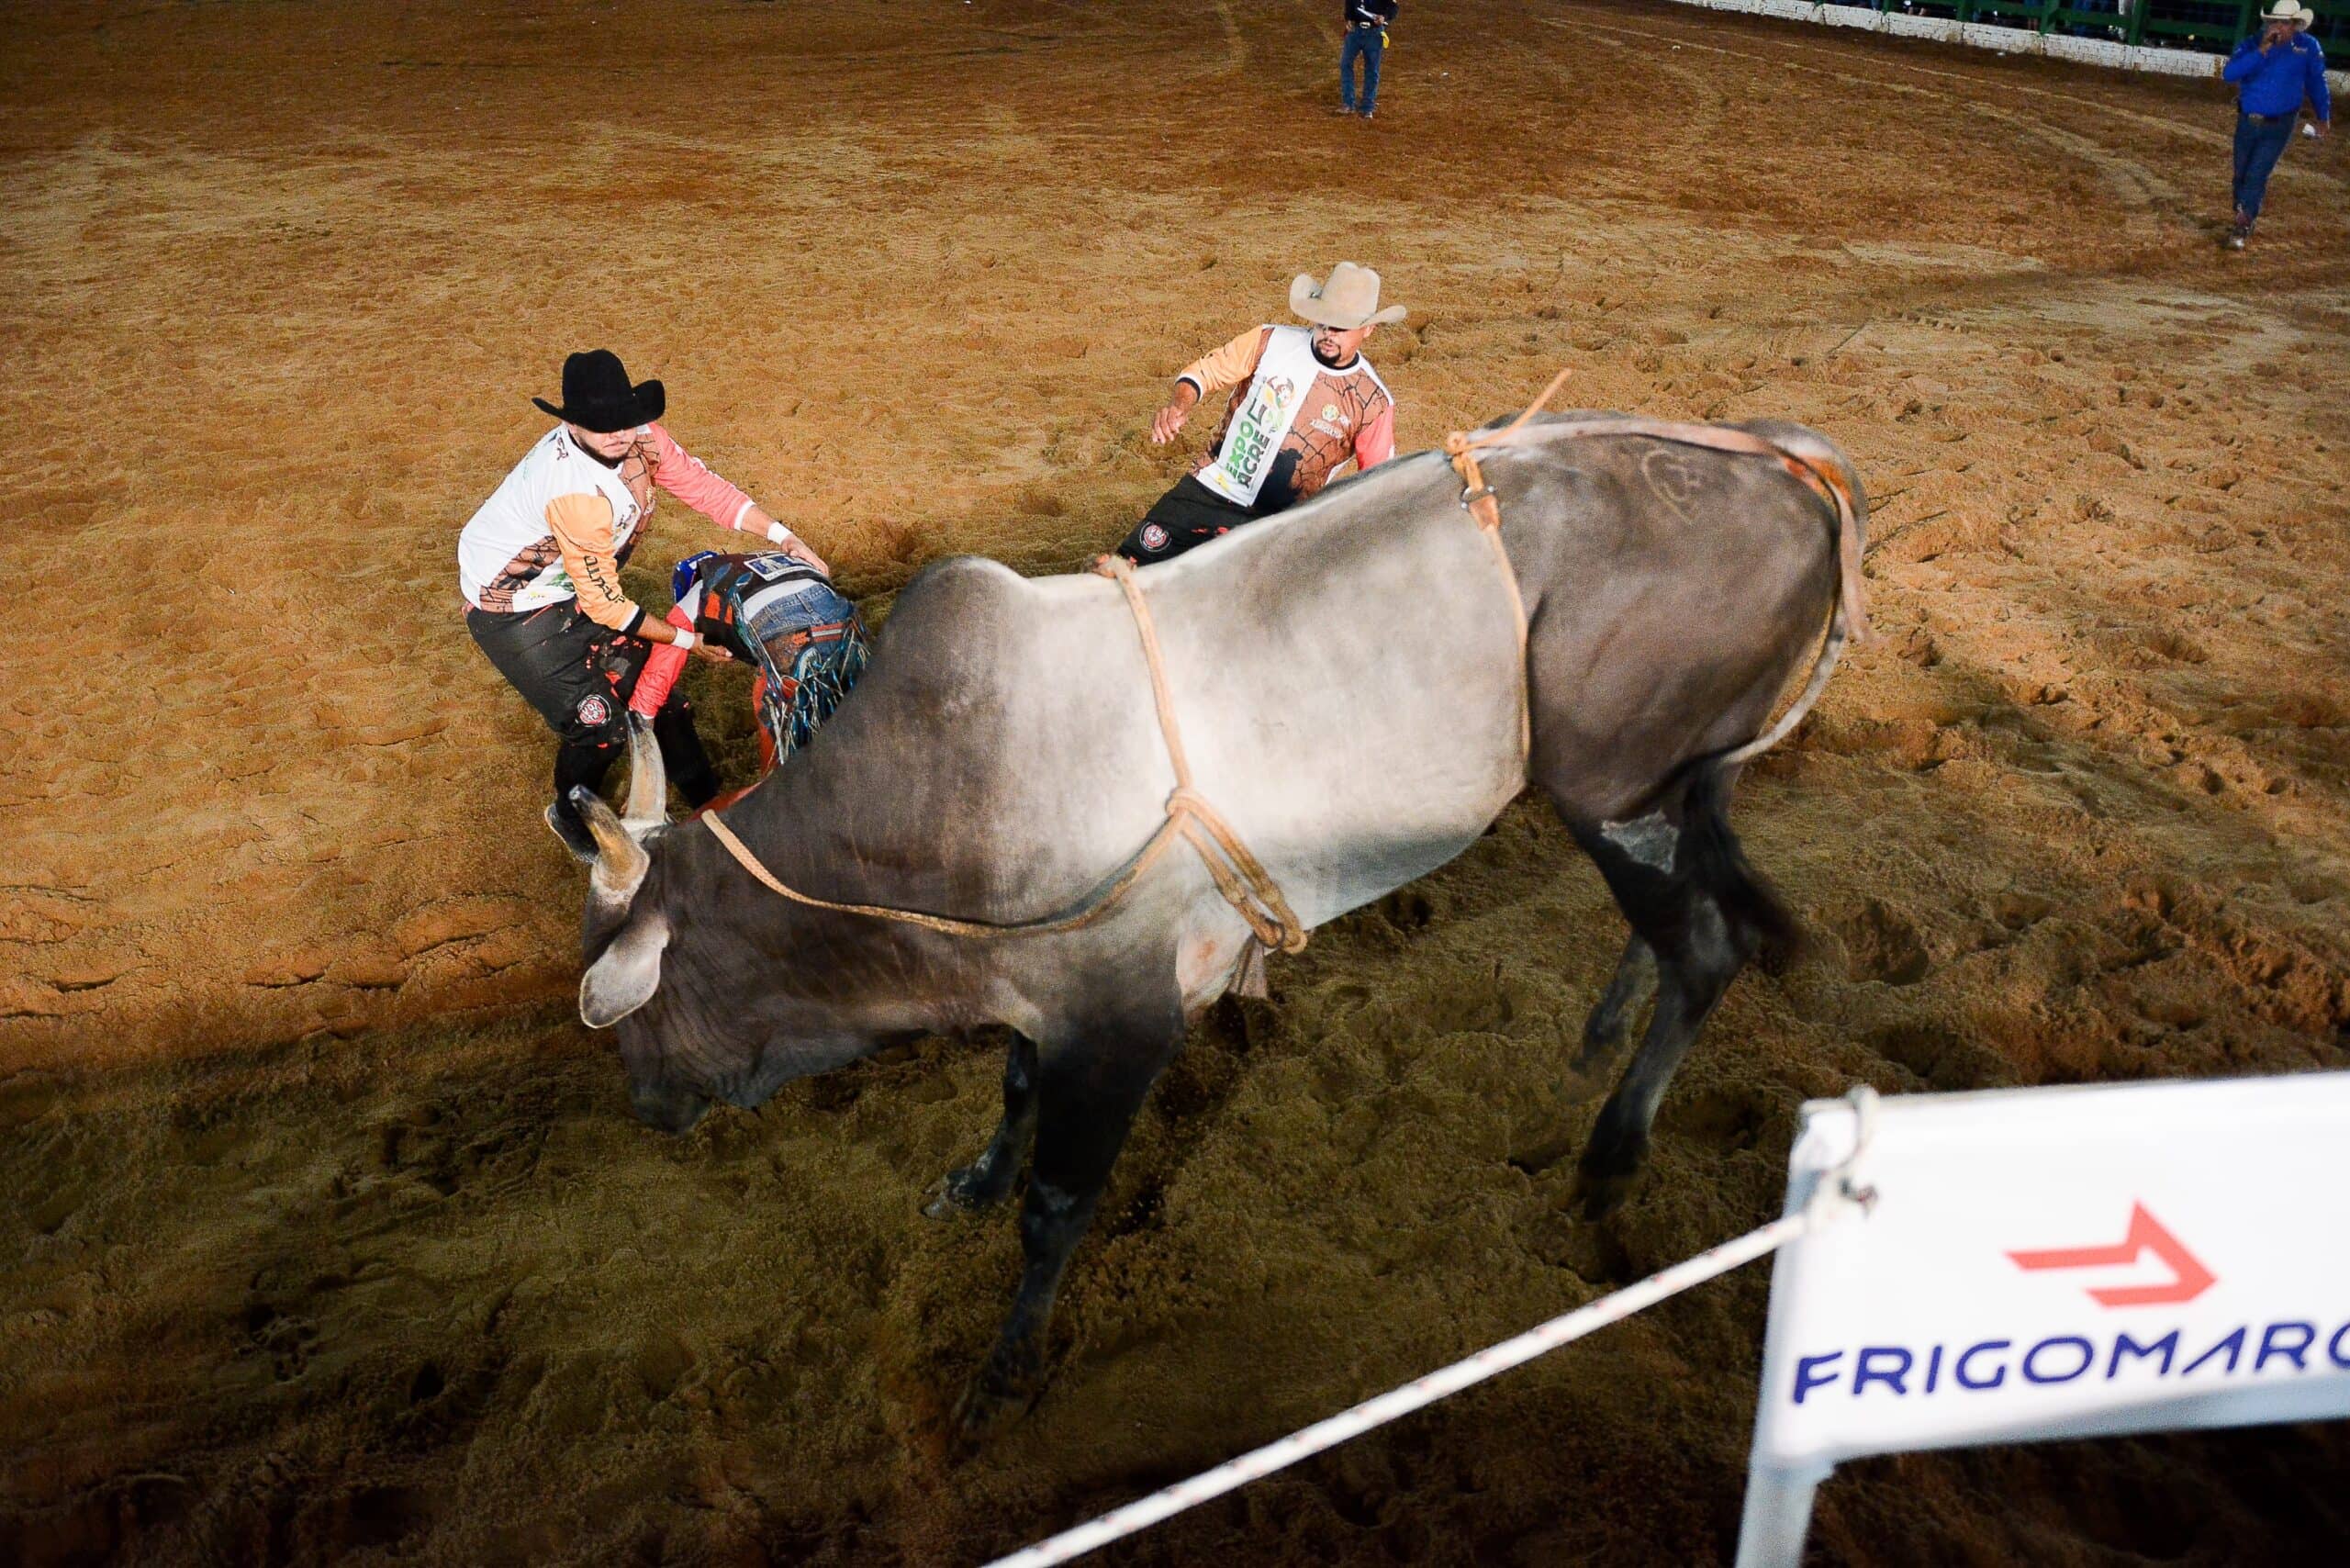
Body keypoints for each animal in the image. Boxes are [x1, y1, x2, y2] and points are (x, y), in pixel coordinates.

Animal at [569, 410, 1867, 1432]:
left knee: (1709, 946)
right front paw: (972, 1183)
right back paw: (1599, 1037)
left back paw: (1607, 1159)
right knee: (1677, 918)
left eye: (629, 1014)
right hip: (1671, 791)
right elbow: (1013, 1095)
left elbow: (1057, 1206)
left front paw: (1002, 1376)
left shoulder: (1126, 1021)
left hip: (1612, 790)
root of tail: (1784, 466)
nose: (645, 1107)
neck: (940, 798)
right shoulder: (1043, 990)